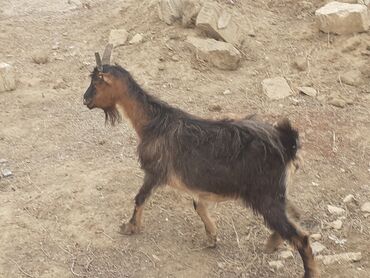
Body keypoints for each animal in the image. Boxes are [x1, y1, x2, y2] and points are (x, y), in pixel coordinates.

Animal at [83, 46, 318, 278]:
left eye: (96, 82)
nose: (85, 100)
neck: (153, 123)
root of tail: (288, 144)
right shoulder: (196, 184)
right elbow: (198, 205)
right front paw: (212, 237)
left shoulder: (155, 171)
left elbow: (140, 198)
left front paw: (130, 227)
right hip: (275, 193)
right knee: (295, 214)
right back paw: (272, 243)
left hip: (265, 197)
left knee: (301, 237)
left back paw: (308, 270)